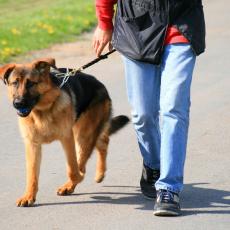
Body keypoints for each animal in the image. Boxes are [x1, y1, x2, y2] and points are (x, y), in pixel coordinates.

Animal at [0, 57, 129, 207]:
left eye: (31, 83)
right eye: (14, 83)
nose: (18, 103)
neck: (42, 110)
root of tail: (99, 83)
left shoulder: (67, 138)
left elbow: (72, 169)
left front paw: (78, 177)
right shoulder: (32, 145)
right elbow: (32, 174)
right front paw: (29, 196)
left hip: (84, 135)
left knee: (91, 152)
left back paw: (78, 181)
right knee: (103, 142)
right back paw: (97, 175)